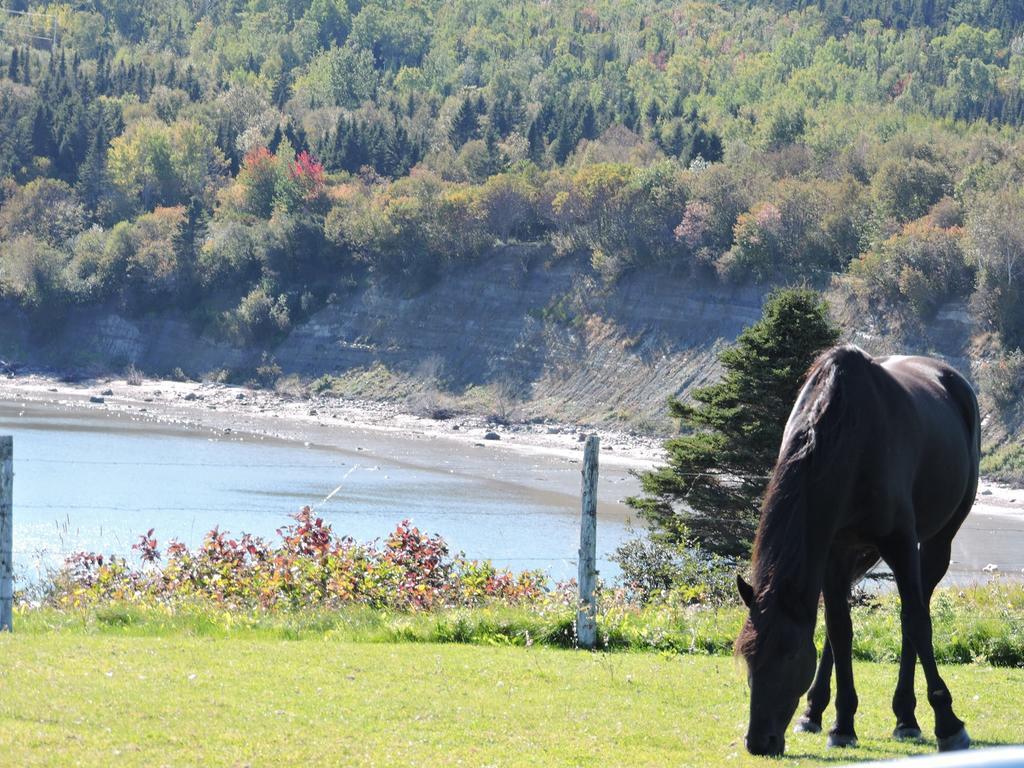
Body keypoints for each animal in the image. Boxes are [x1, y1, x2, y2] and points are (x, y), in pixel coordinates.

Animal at [733, 348, 978, 757]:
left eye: (788, 654)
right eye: (747, 656)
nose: (759, 742)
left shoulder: (900, 542)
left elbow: (917, 623)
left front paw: (948, 723)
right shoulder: (833, 549)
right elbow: (838, 629)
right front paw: (842, 724)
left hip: (936, 543)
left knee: (915, 616)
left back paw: (906, 717)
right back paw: (816, 713)